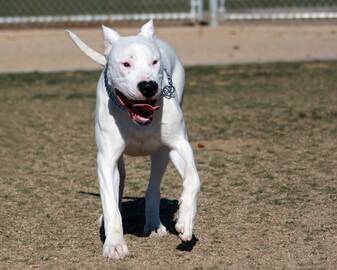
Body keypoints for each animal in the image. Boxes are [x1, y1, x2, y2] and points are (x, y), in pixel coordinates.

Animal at [67, 20, 201, 258]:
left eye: (154, 62)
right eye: (126, 64)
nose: (148, 86)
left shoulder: (180, 145)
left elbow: (194, 179)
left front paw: (185, 219)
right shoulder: (106, 159)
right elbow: (111, 203)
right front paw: (114, 244)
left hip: (162, 154)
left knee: (153, 186)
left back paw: (155, 224)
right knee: (118, 186)